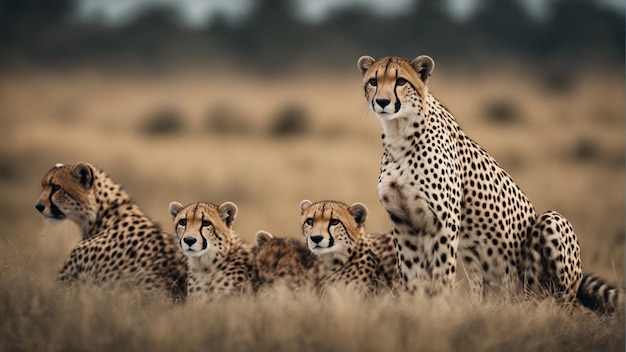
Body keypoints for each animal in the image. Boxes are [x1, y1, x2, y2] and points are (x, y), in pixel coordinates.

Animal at [358, 53, 616, 312]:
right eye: (373, 81)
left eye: (400, 81)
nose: (382, 101)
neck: (399, 133)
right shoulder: (402, 221)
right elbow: (412, 274)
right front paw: (417, 305)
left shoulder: (444, 221)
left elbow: (442, 272)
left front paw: (440, 306)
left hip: (551, 225)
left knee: (564, 301)